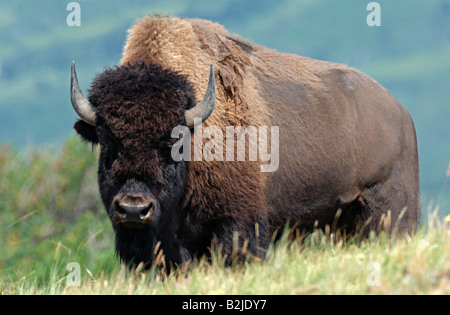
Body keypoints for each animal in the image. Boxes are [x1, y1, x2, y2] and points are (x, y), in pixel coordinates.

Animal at [69, 15, 418, 270]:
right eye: (105, 140)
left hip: (390, 212)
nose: (133, 209)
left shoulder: (238, 223)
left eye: (173, 142)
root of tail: (401, 112)